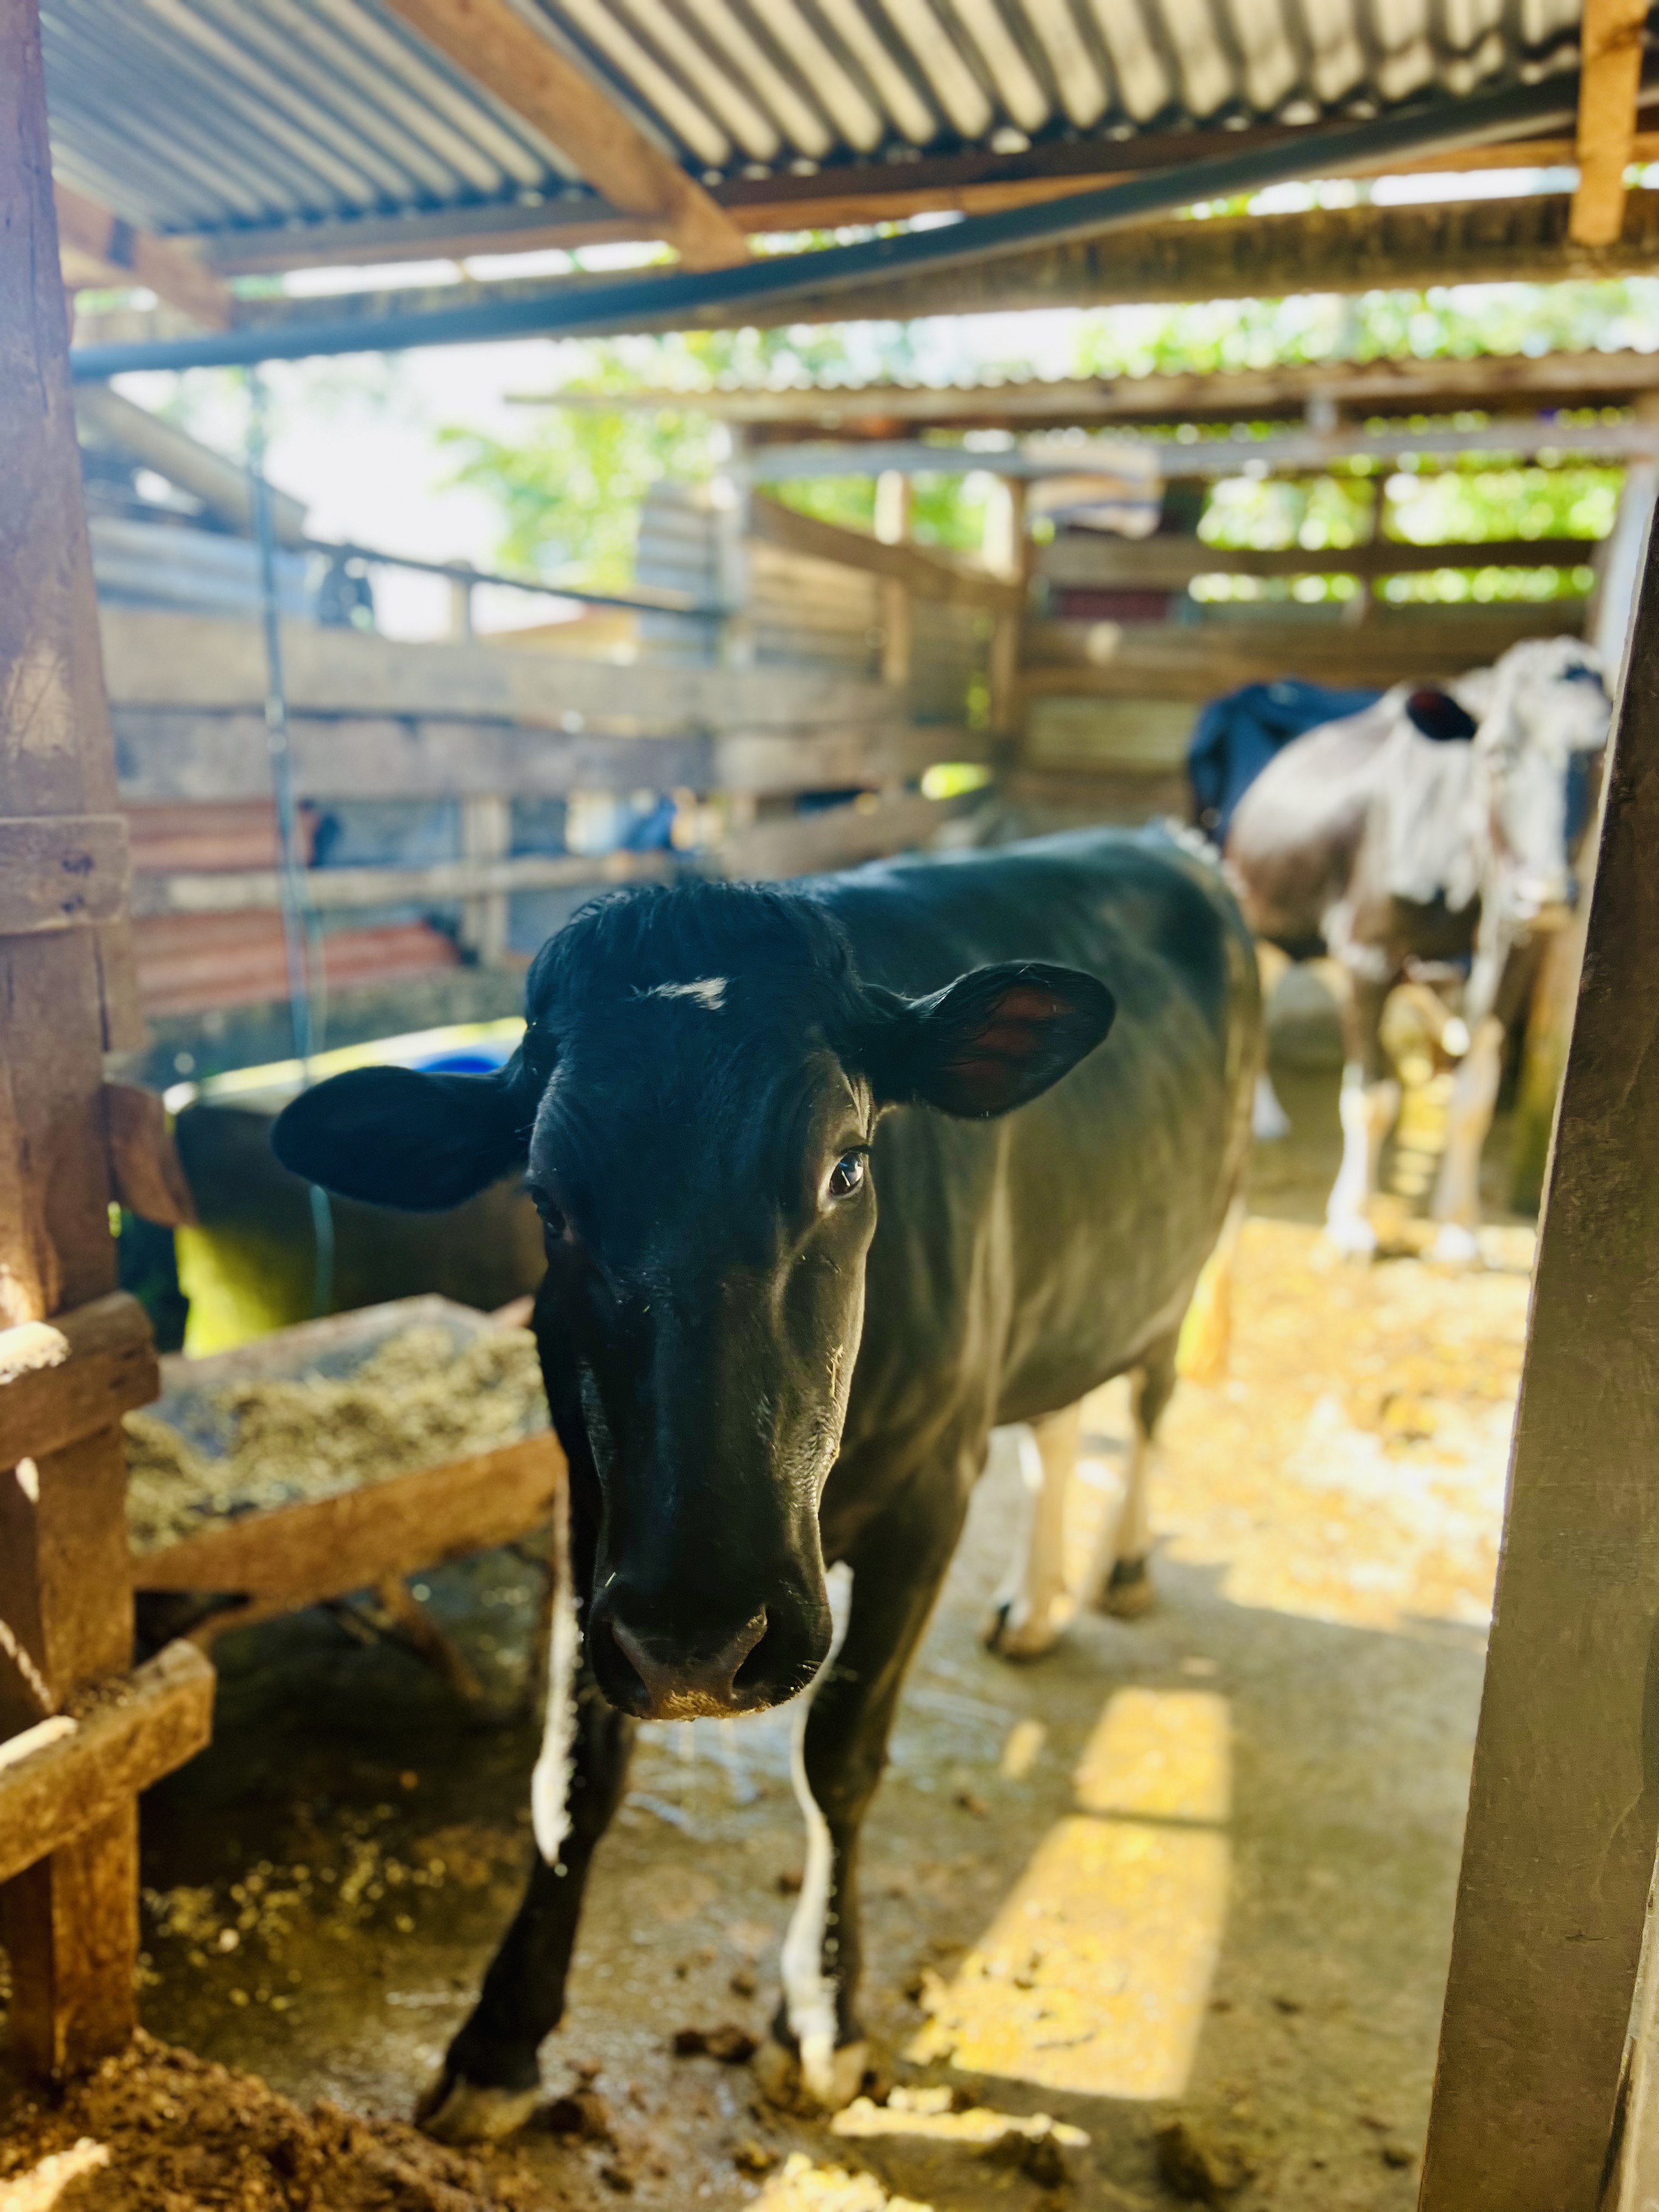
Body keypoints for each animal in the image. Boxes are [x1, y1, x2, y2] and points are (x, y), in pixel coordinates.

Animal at [271, 826, 1261, 2142]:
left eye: (846, 1167)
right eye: (547, 1201)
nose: (701, 1637)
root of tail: (1164, 838)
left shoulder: (935, 1486)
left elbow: (839, 1754)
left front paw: (825, 2011)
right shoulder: (597, 1517)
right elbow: (571, 1776)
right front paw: (498, 2039)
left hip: (1185, 1249)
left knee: (1143, 1402)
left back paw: (1125, 1569)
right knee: (1060, 1420)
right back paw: (1034, 1606)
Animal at [1225, 636, 1610, 1261]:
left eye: (1600, 755)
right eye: (1496, 754)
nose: (1544, 894)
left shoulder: (1511, 964)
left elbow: (1472, 1103)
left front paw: (1459, 1226)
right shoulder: (1369, 956)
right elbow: (1370, 1098)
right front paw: (1351, 1221)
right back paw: (1264, 1117)